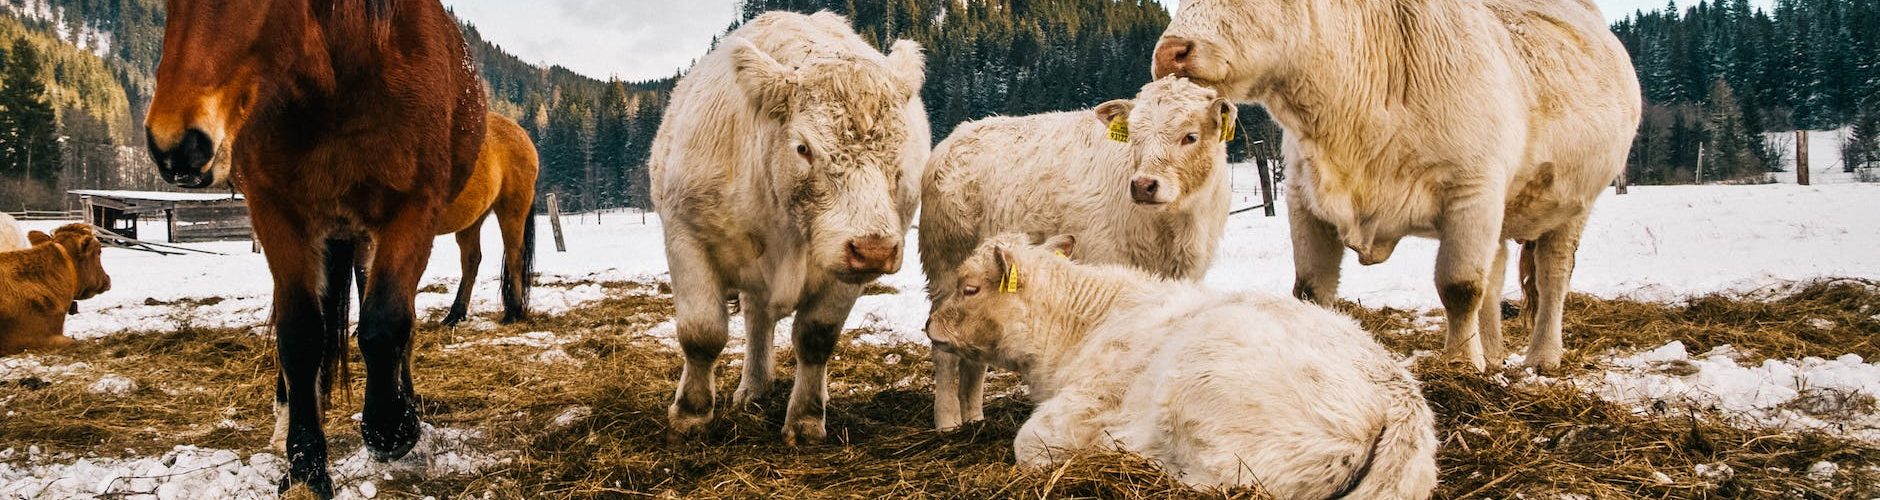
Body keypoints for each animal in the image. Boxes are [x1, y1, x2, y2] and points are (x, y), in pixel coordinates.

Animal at [143, 1, 486, 497]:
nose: (175, 146)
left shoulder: (413, 207)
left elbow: (385, 323)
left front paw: (392, 429)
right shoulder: (278, 213)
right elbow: (301, 334)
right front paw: (306, 466)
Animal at [435, 112, 537, 327]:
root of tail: (521, 133)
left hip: (511, 211)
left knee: (515, 256)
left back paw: (513, 312)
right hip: (471, 220)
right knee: (471, 260)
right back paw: (455, 313)